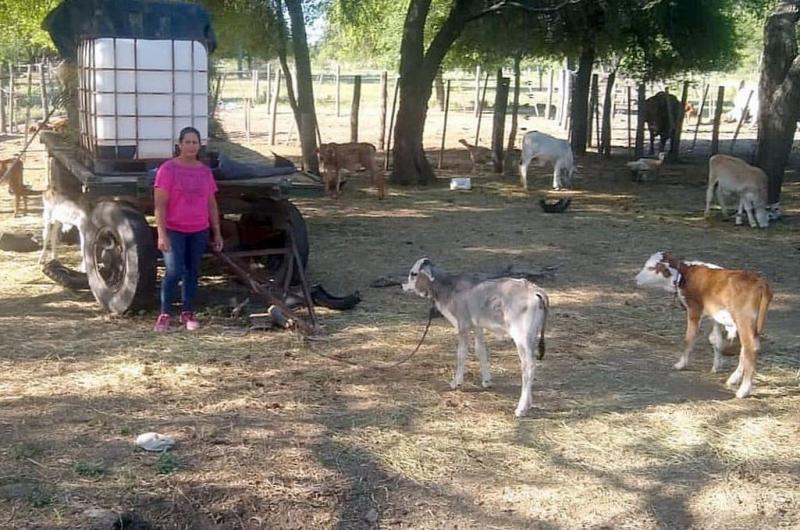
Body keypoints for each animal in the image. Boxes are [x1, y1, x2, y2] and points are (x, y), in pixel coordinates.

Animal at [400, 258, 552, 414]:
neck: (449, 288)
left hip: (521, 337)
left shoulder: (463, 325)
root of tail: (534, 289)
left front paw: (456, 382)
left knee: (528, 365)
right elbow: (480, 351)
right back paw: (529, 403)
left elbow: (461, 353)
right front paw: (486, 381)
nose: (403, 285)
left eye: (413, 273)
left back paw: (521, 408)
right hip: (531, 336)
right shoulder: (478, 327)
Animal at [636, 251, 772, 396]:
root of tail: (760, 281)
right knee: (745, 348)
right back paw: (734, 378)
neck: (684, 275)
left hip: (744, 320)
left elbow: (689, 338)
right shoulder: (714, 316)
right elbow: (715, 340)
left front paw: (681, 364)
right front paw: (716, 366)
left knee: (751, 348)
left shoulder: (694, 311)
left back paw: (744, 390)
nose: (636, 279)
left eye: (650, 268)